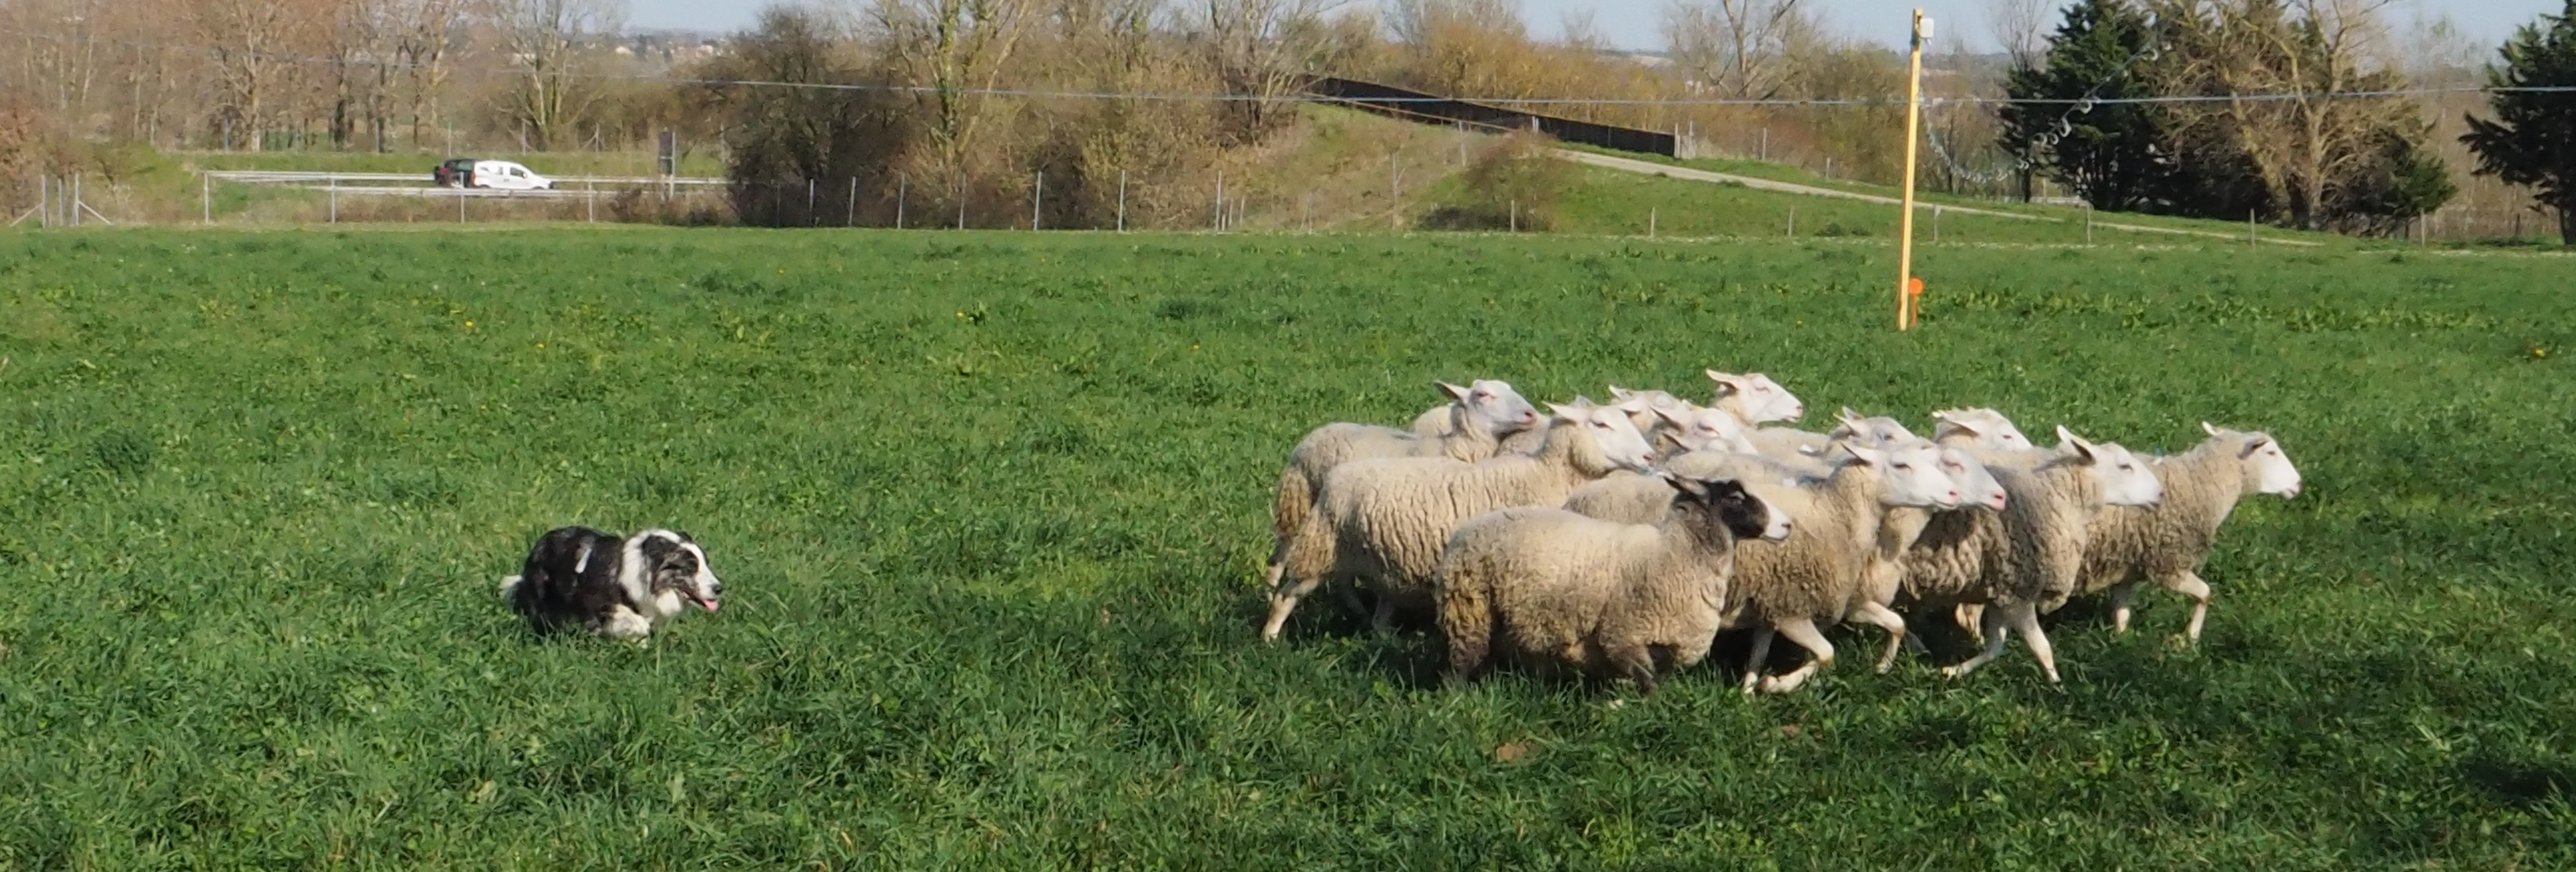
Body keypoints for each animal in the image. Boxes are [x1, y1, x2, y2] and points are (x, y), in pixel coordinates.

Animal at [1262, 401, 1659, 643]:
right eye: (1602, 424)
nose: (1650, 457)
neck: (1549, 475)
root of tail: (1335, 477)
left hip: (1372, 556)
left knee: (1370, 601)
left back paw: (1383, 634)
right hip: (1320, 545)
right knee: (1286, 593)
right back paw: (1269, 637)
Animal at [1432, 476, 1793, 694]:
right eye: (1736, 497)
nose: (1788, 524)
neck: (1676, 554)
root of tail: (1464, 531)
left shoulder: (1660, 645)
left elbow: (1649, 679)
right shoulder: (1621, 634)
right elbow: (1649, 684)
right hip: (1468, 608)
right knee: (1461, 663)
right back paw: (1457, 701)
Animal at [1896, 427, 2174, 684]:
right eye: (2125, 466)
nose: (2161, 493)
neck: (2053, 495)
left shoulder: (2002, 590)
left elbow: (1995, 647)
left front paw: (1955, 670)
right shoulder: (2021, 587)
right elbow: (2042, 648)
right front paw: (2056, 688)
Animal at [2061, 424, 2308, 643]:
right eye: (2271, 452)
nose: (2298, 484)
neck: (2197, 485)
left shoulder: (2125, 563)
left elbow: (2121, 611)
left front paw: (2120, 642)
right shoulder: (2170, 563)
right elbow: (2206, 594)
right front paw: (2192, 638)